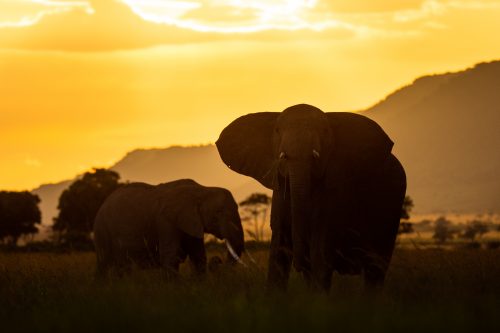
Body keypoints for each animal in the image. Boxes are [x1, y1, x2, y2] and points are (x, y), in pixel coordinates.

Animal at [93, 179, 245, 278]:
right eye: (218, 213)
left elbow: (198, 256)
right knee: (105, 264)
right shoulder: (166, 222)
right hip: (102, 231)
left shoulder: (191, 222)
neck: (202, 189)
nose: (218, 260)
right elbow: (171, 257)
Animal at [216, 104, 406, 290]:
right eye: (277, 130)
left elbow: (320, 250)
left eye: (324, 130)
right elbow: (279, 247)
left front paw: (318, 299)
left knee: (375, 268)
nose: (299, 265)